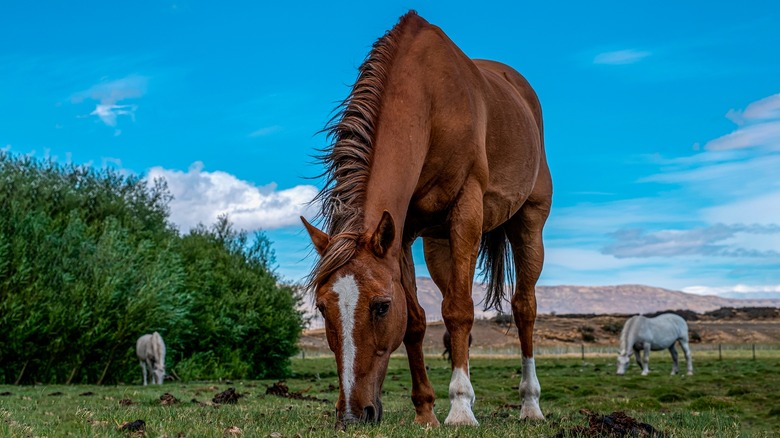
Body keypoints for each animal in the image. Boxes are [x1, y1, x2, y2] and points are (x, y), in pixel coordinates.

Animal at [302, 11, 552, 428]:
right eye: (322, 308)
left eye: (381, 306)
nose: (353, 415)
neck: (430, 103)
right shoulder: (402, 232)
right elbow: (418, 322)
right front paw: (426, 410)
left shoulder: (467, 209)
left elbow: (458, 310)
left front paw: (460, 409)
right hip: (439, 246)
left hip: (528, 225)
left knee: (524, 309)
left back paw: (530, 405)